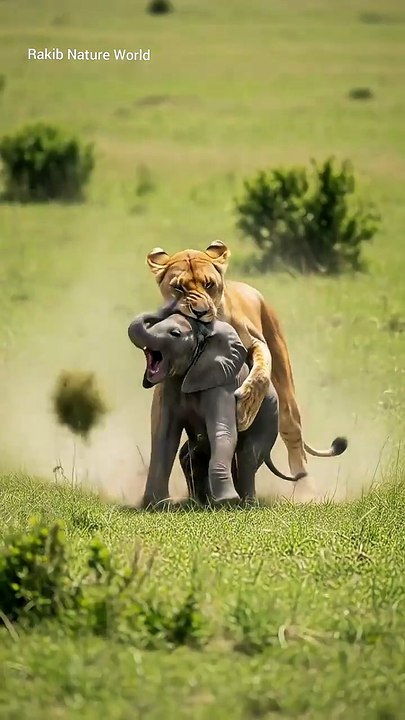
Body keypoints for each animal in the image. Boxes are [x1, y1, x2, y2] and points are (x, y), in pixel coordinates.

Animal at [128, 304, 305, 506]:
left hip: (268, 415)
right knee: (196, 453)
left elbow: (223, 431)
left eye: (175, 333)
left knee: (248, 455)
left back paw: (245, 503)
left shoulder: (222, 385)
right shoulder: (170, 388)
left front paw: (226, 501)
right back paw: (202, 502)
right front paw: (155, 505)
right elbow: (164, 435)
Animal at [145, 240, 347, 485]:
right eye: (179, 288)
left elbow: (260, 374)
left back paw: (306, 489)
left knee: (293, 436)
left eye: (209, 285)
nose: (200, 312)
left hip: (284, 385)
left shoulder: (256, 343)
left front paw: (245, 411)